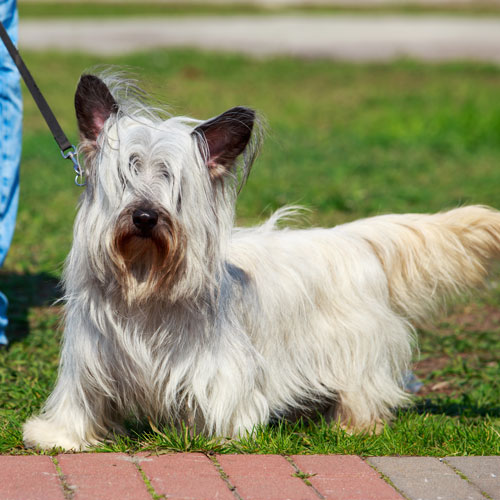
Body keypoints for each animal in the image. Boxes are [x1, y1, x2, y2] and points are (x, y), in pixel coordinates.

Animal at [22, 72, 500, 452]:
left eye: (174, 183)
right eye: (127, 172)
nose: (144, 216)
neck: (144, 282)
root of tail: (349, 237)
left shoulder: (220, 366)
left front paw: (222, 434)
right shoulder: (92, 359)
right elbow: (82, 400)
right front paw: (62, 436)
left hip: (353, 349)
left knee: (364, 392)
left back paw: (354, 428)